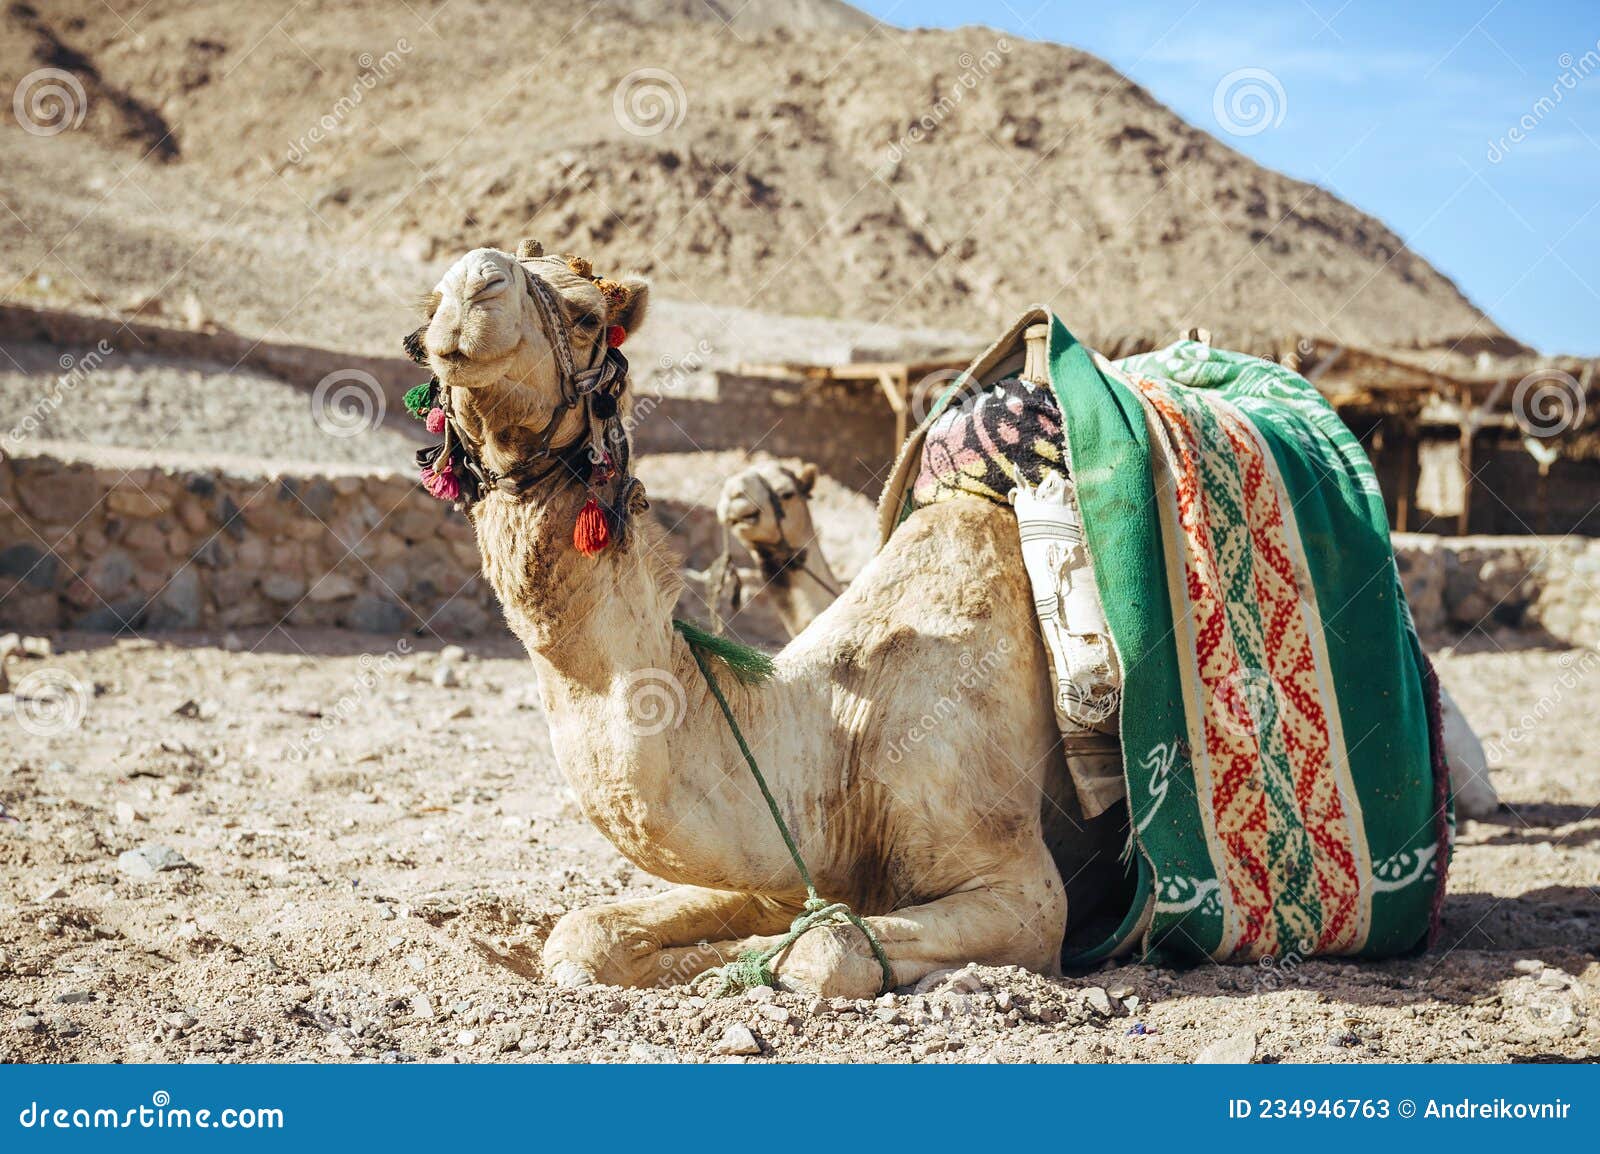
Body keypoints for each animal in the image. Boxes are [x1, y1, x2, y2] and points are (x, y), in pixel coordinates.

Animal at [414, 243, 1124, 998]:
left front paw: (726, 969)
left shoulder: (1021, 888)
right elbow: (587, 931)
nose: (471, 285)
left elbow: (826, 948)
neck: (838, 742)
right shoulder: (797, 868)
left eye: (585, 317)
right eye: (430, 305)